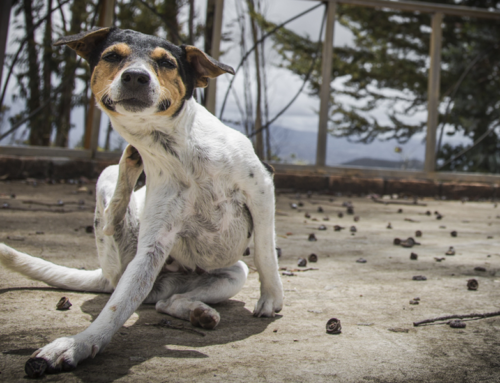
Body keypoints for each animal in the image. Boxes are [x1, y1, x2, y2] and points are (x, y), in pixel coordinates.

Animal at [0, 27, 284, 378]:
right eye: (112, 56)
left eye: (167, 63)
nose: (135, 76)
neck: (178, 150)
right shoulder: (152, 248)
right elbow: (116, 308)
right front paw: (79, 344)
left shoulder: (261, 187)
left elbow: (265, 251)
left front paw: (270, 298)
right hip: (117, 223)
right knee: (118, 235)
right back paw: (126, 176)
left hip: (233, 274)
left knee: (169, 301)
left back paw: (198, 311)